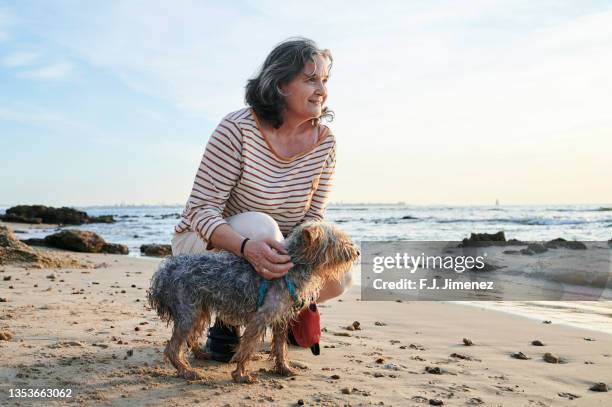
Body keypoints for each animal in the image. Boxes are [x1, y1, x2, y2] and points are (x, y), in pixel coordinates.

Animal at [148, 222, 358, 384]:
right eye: (339, 241)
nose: (357, 251)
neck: (293, 265)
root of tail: (163, 272)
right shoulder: (261, 317)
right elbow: (247, 347)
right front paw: (241, 375)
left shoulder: (281, 317)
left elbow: (280, 347)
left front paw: (284, 368)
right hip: (188, 309)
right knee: (173, 348)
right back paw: (186, 371)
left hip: (199, 309)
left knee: (189, 338)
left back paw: (200, 355)